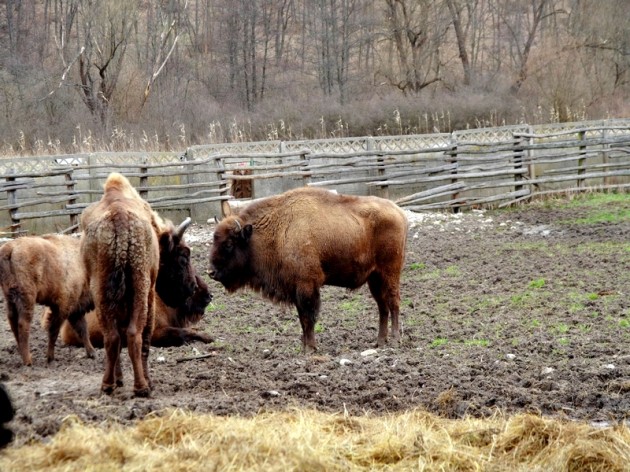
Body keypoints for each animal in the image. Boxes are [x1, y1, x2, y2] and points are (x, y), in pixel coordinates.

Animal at [0, 235, 96, 366]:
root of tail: (10, 248)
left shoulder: (74, 310)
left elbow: (83, 330)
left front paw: (92, 353)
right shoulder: (63, 307)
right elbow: (54, 330)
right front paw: (50, 358)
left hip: (10, 299)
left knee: (12, 322)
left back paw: (23, 355)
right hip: (27, 299)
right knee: (23, 324)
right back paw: (28, 361)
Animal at [51, 272, 215, 348]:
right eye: (194, 286)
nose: (210, 295)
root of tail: (65, 328)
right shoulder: (156, 332)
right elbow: (183, 332)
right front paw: (207, 338)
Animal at [80, 171, 198, 396]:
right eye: (183, 256)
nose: (193, 287)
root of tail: (119, 218)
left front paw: (119, 380)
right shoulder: (150, 292)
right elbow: (145, 339)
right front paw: (148, 382)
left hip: (101, 292)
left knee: (112, 337)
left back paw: (108, 384)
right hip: (141, 291)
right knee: (135, 335)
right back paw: (142, 387)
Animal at [210, 186, 410, 352]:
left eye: (229, 244)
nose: (211, 272)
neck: (277, 229)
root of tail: (399, 212)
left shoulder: (307, 285)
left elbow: (309, 318)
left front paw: (310, 349)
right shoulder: (297, 289)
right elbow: (302, 318)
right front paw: (305, 347)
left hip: (390, 273)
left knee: (393, 302)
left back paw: (394, 340)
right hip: (374, 278)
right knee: (382, 306)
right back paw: (379, 342)